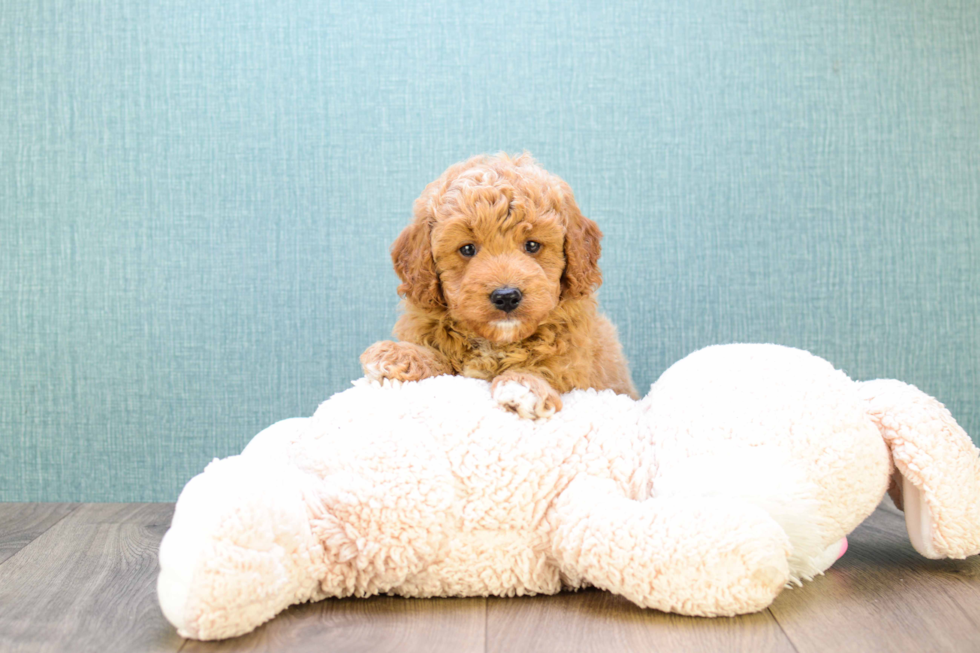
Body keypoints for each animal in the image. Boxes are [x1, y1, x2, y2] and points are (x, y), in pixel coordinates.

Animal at [360, 153, 636, 418]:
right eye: (467, 249)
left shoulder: (580, 369)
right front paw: (399, 354)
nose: (506, 296)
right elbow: (442, 361)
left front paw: (523, 385)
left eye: (532, 245)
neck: (496, 343)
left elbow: (549, 368)